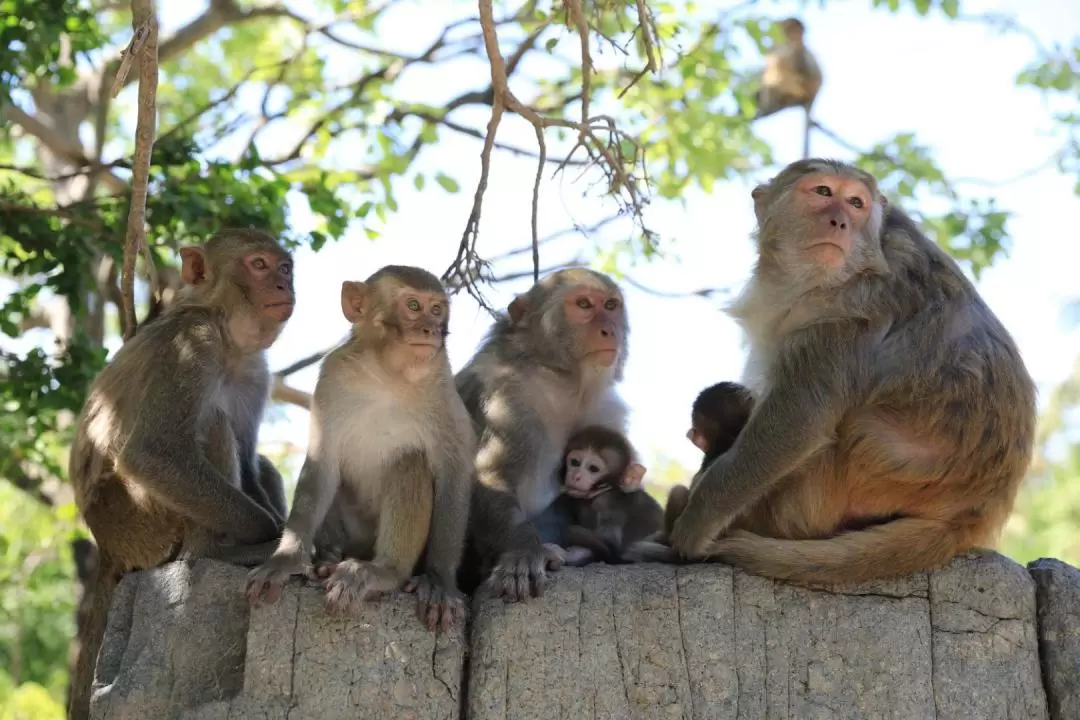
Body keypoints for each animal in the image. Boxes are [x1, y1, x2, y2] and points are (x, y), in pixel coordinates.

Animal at [67, 229, 295, 720]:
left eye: (285, 267)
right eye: (258, 265)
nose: (284, 285)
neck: (227, 337)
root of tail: (106, 547)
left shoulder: (256, 372)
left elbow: (252, 464)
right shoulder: (192, 345)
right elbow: (153, 453)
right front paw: (274, 536)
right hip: (140, 520)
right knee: (210, 427)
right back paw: (215, 552)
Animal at [248, 264, 477, 630]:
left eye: (437, 309)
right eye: (414, 306)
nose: (431, 329)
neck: (386, 374)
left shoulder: (442, 387)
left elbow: (452, 472)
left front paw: (439, 581)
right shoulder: (333, 376)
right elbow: (322, 463)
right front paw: (287, 560)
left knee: (409, 459)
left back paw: (382, 571)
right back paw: (329, 559)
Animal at [453, 267, 630, 600]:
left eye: (611, 306)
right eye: (584, 304)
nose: (609, 330)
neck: (563, 380)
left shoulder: (607, 412)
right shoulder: (509, 399)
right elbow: (490, 476)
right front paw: (522, 552)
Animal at [548, 425, 665, 565]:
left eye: (593, 469)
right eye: (575, 462)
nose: (576, 476)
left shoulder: (608, 503)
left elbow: (610, 548)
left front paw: (564, 554)